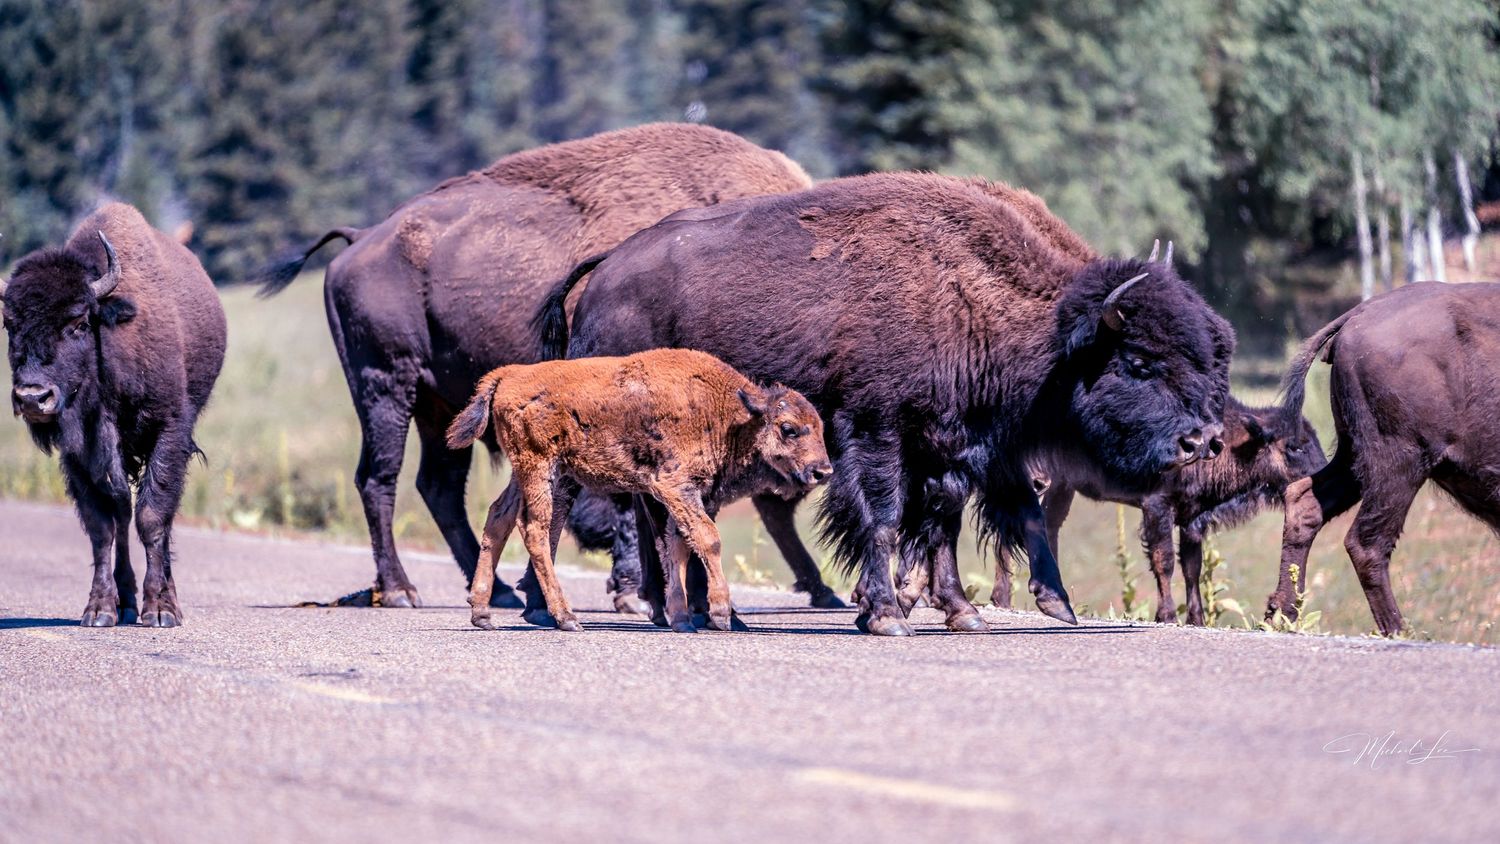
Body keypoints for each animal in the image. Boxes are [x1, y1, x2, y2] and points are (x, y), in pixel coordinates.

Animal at [2, 203, 226, 627]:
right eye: (9, 324)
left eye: (78, 323)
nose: (32, 398)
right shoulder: (79, 453)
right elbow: (103, 526)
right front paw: (100, 609)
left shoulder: (169, 430)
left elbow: (153, 516)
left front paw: (161, 610)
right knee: (122, 514)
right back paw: (126, 602)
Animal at [446, 348, 832, 633]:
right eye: (788, 428)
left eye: (819, 427)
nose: (823, 471)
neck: (729, 413)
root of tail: (507, 375)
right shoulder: (675, 487)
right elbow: (706, 539)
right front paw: (721, 615)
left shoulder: (678, 497)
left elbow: (677, 546)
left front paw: (682, 620)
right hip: (540, 467)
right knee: (535, 529)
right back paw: (567, 618)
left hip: (522, 471)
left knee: (498, 519)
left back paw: (482, 614)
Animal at [536, 173, 1235, 636]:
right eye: (1137, 362)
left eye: (1207, 357)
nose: (1201, 441)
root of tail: (604, 271)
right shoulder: (878, 433)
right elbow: (884, 517)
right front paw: (885, 615)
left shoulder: (953, 446)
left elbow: (953, 522)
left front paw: (973, 613)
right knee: (643, 509)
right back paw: (671, 610)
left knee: (651, 510)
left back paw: (679, 609)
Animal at [968, 395, 1325, 624]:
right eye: (1294, 446)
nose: (1322, 472)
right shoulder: (1157, 507)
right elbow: (1164, 561)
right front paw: (1166, 615)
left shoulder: (1191, 519)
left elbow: (1191, 567)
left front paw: (1196, 619)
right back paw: (1002, 599)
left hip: (1060, 487)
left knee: (1045, 527)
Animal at [1273, 282, 1500, 636]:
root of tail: (1361, 312)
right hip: (1399, 464)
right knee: (1367, 543)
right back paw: (1400, 630)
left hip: (1354, 457)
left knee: (1304, 501)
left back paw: (1282, 616)